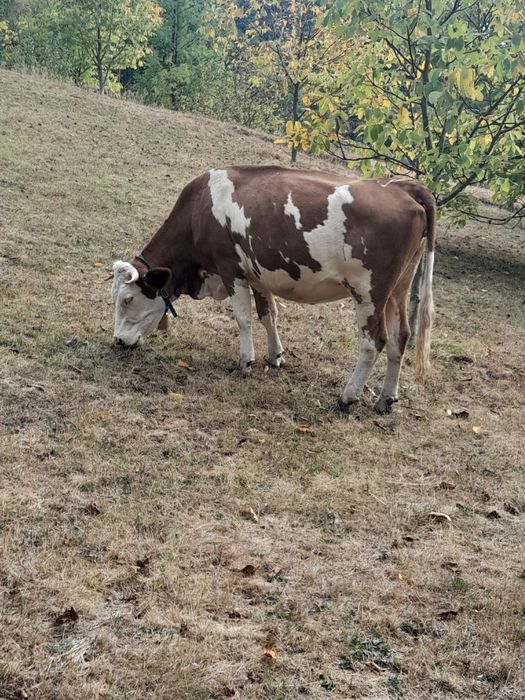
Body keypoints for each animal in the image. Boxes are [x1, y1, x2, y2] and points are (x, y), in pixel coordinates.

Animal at [111, 165, 436, 414]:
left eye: (127, 300)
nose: (117, 341)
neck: (200, 211)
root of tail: (403, 187)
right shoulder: (257, 275)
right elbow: (268, 315)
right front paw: (275, 355)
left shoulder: (230, 269)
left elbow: (243, 319)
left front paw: (245, 362)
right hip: (397, 289)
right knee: (400, 336)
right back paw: (386, 398)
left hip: (369, 290)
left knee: (373, 341)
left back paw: (349, 396)